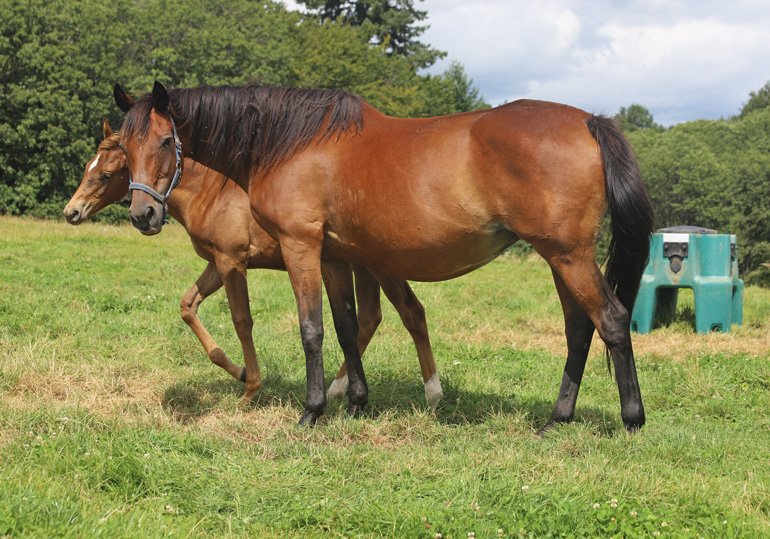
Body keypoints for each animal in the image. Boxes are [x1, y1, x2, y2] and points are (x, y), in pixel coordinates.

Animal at [63, 119, 444, 407]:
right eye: (87, 168)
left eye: (106, 174)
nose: (72, 212)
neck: (212, 192)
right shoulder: (216, 263)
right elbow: (188, 306)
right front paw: (239, 371)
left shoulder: (231, 261)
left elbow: (242, 321)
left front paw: (251, 388)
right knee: (369, 319)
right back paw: (341, 389)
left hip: (380, 267)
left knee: (410, 313)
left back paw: (430, 393)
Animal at [115, 81, 654, 430]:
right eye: (123, 146)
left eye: (166, 140)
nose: (143, 214)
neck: (291, 142)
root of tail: (587, 121)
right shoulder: (335, 256)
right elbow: (347, 326)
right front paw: (357, 403)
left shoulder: (300, 245)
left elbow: (311, 328)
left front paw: (312, 411)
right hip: (559, 258)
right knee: (579, 329)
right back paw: (557, 418)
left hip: (568, 256)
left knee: (610, 319)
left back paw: (632, 419)